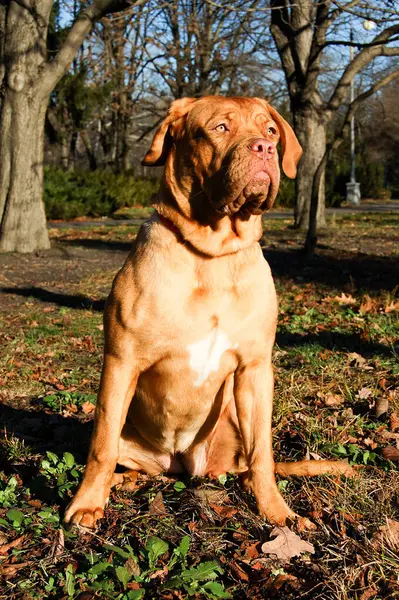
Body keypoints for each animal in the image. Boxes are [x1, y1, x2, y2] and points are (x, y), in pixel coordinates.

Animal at [65, 96, 354, 528]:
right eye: (220, 128)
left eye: (270, 131)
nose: (265, 149)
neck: (213, 253)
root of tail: (177, 462)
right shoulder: (121, 361)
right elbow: (101, 447)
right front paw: (85, 504)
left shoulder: (254, 368)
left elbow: (263, 453)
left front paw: (278, 512)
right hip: (131, 433)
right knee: (121, 454)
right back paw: (121, 482)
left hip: (230, 428)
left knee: (247, 464)